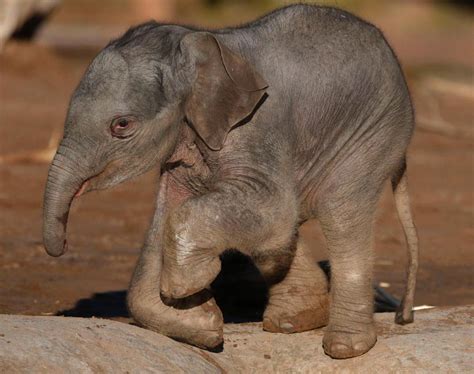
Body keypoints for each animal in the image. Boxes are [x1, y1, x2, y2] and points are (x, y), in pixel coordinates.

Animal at [42, 3, 416, 360]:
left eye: (121, 125)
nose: (62, 246)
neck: (201, 45)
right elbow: (168, 216)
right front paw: (202, 323)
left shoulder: (256, 129)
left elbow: (270, 207)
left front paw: (190, 286)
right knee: (278, 236)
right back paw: (293, 322)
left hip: (372, 134)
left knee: (340, 215)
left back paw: (345, 347)